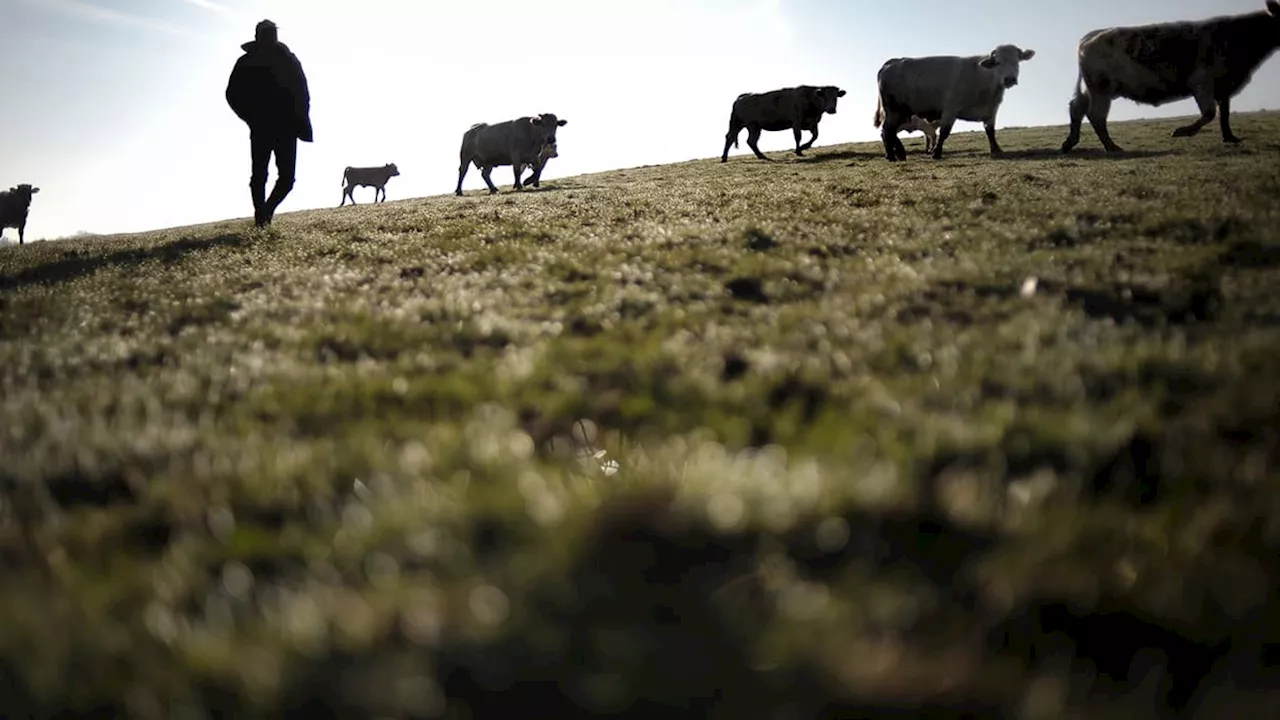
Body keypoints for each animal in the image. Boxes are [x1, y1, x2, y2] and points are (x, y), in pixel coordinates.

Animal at [875, 46, 1034, 161]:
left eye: (1017, 61)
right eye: (998, 62)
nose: (1009, 79)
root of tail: (892, 62)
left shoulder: (991, 110)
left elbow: (990, 131)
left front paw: (996, 150)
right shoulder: (950, 109)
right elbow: (944, 132)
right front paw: (936, 153)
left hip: (901, 112)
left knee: (889, 132)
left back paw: (897, 154)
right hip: (893, 110)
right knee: (887, 131)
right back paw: (892, 156)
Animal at [1059, 0, 1280, 152]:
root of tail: (1089, 36)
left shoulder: (1224, 85)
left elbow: (1224, 114)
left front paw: (1230, 138)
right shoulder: (1202, 82)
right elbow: (1210, 112)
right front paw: (1182, 131)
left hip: (1094, 88)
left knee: (1077, 107)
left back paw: (1070, 143)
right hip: (1101, 87)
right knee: (1095, 115)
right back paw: (1112, 147)